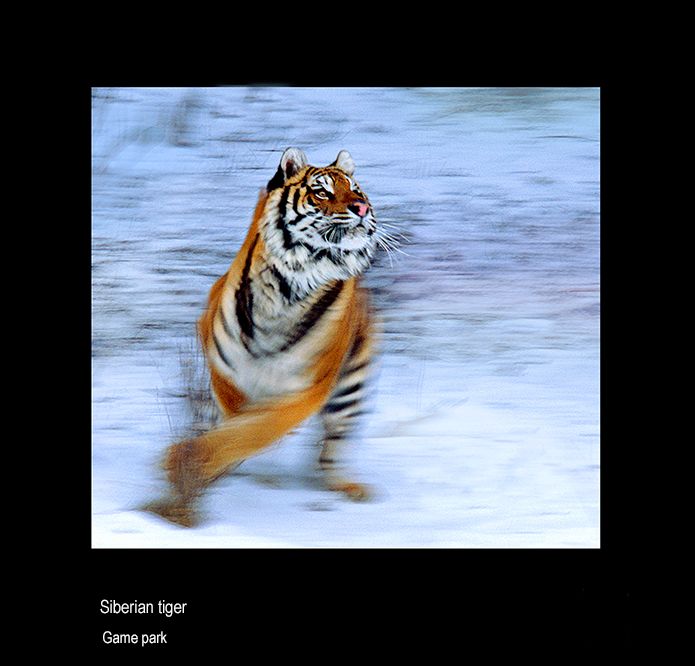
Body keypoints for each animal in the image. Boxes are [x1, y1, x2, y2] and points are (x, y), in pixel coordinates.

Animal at [150, 147, 378, 526]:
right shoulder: (224, 369)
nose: (361, 208)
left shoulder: (308, 387)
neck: (288, 290)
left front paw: (184, 461)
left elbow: (255, 429)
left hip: (349, 386)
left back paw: (347, 487)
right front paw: (191, 464)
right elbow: (234, 421)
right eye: (322, 191)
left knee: (330, 447)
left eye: (357, 190)